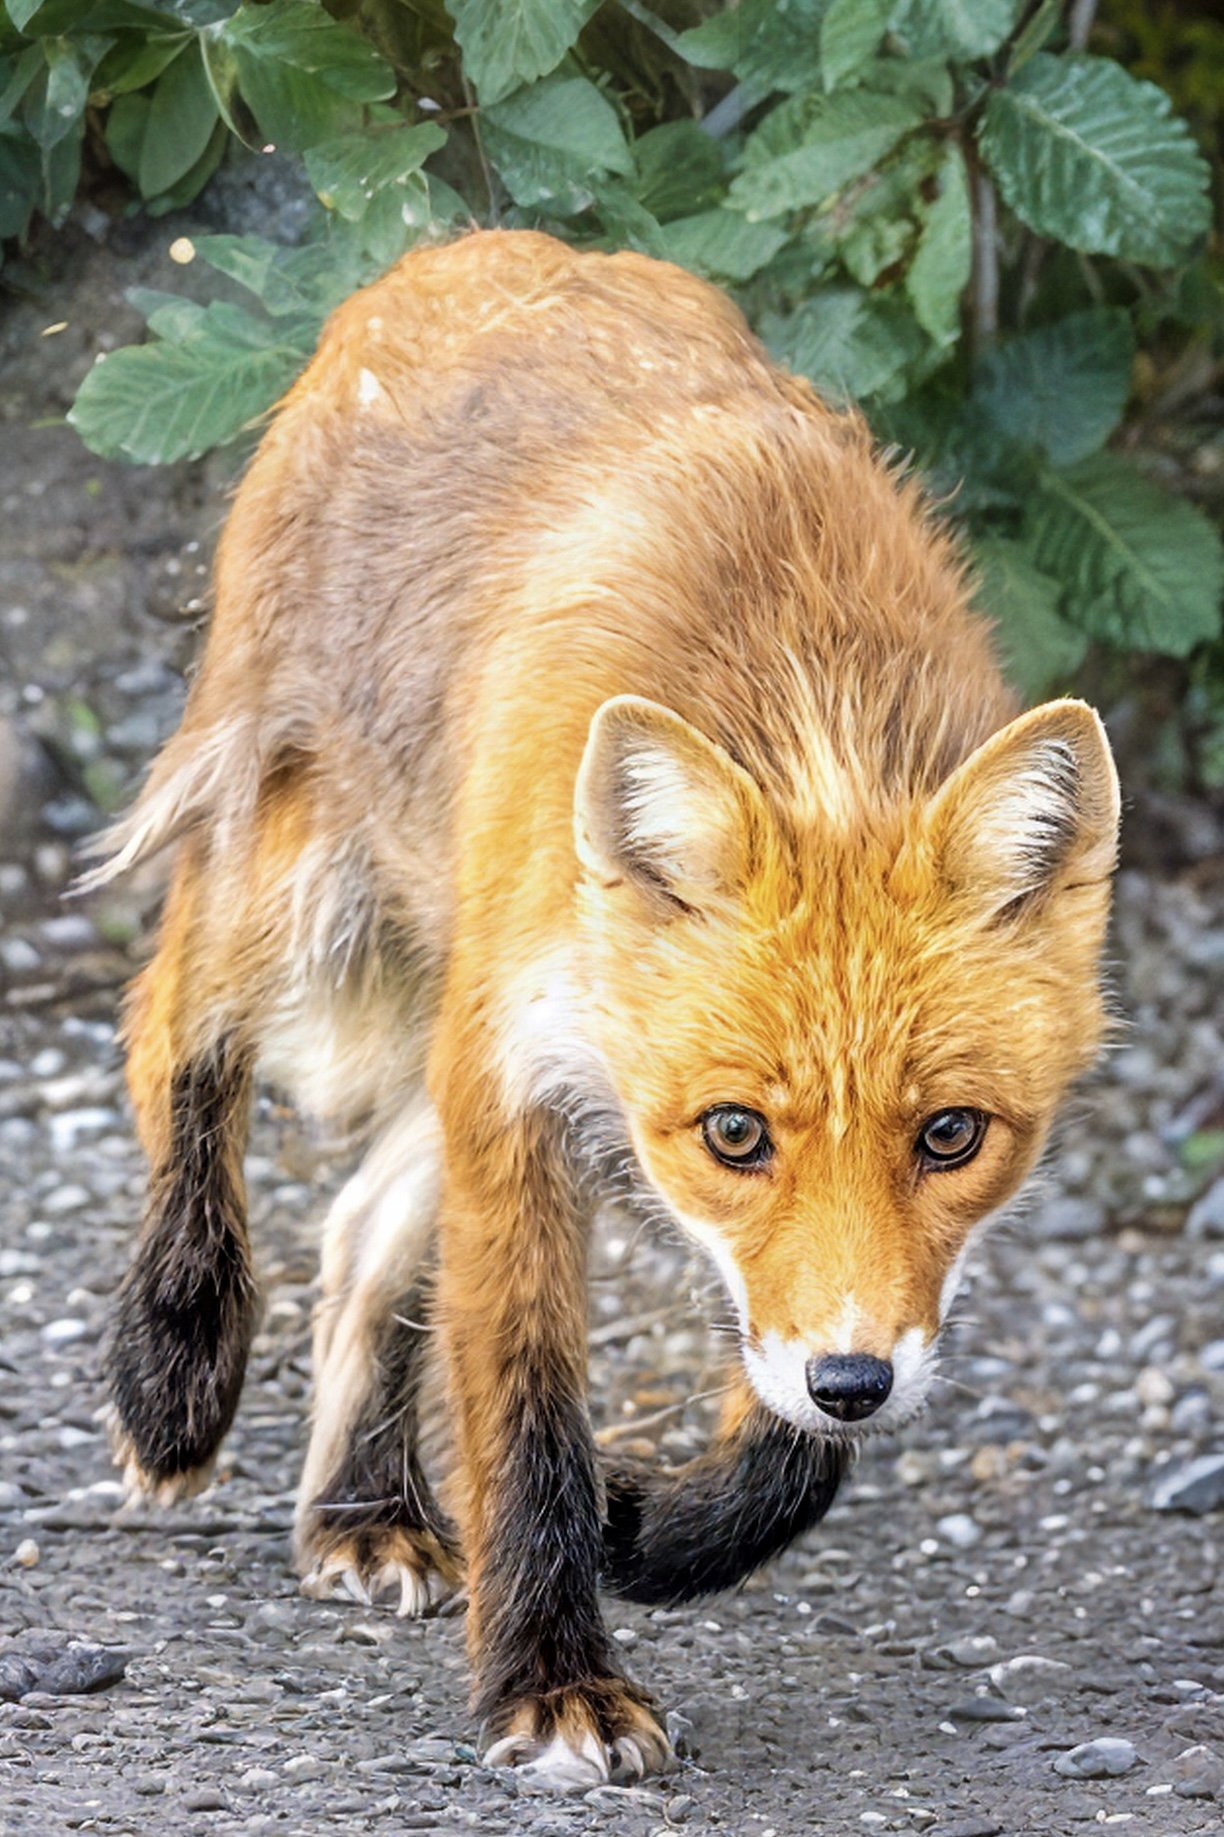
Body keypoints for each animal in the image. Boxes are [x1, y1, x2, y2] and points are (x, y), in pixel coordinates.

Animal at [93, 229, 1120, 1790]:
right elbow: (525, 1412)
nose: (857, 1383)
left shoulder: (795, 1265)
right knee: (172, 1027)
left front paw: (653, 1529)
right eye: (736, 1132)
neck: (810, 714)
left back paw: (362, 1509)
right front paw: (550, 1678)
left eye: (951, 1135)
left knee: (364, 1224)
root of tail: (466, 249)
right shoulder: (519, 1092)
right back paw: (177, 1361)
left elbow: (790, 1455)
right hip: (305, 886)